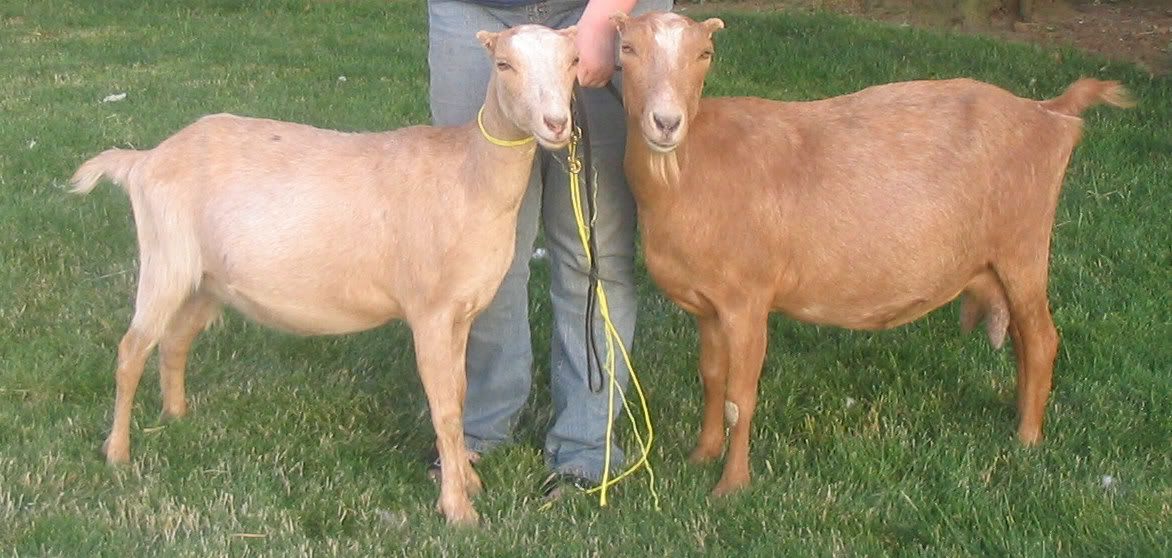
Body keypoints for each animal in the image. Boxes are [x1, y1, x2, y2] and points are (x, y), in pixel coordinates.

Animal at [70, 24, 580, 525]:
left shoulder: (462, 313)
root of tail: (142, 160)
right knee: (131, 349)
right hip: (165, 258)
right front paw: (458, 509)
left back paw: (177, 417)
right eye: (503, 64)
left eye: (573, 61)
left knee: (174, 341)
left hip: (204, 278)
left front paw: (467, 482)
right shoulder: (429, 311)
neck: (470, 174)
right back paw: (117, 453)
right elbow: (446, 410)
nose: (557, 123)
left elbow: (458, 395)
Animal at [612, 12, 1131, 496]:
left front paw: (732, 485)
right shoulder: (709, 306)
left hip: (1024, 244)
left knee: (1042, 339)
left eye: (705, 54)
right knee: (1024, 339)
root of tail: (1051, 113)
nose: (666, 122)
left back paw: (1027, 439)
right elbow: (712, 378)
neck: (692, 167)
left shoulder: (747, 299)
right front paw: (702, 454)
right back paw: (1021, 414)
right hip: (1002, 260)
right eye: (626, 49)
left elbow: (741, 398)